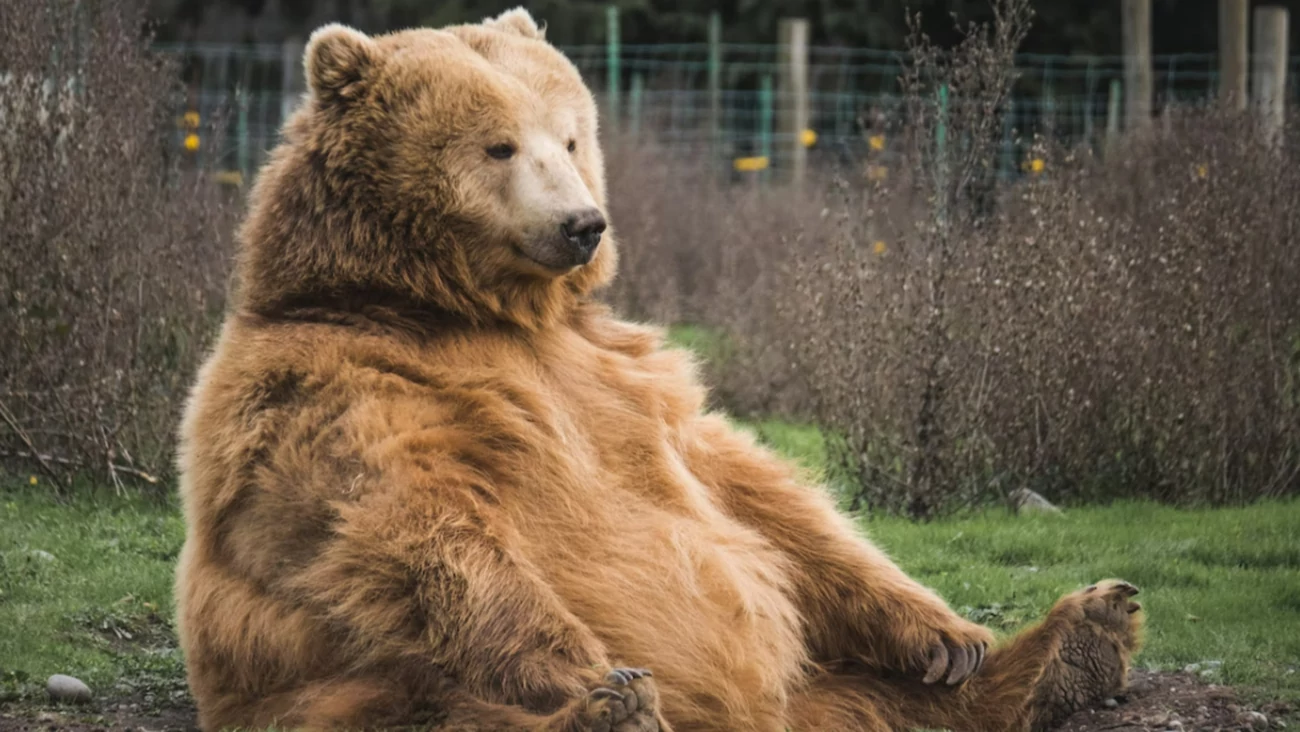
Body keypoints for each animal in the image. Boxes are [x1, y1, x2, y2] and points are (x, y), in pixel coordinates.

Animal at [170, 8, 1138, 728]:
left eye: (568, 136)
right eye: (497, 146)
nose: (583, 224)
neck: (466, 307)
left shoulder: (621, 372)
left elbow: (754, 491)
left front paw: (947, 633)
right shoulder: (336, 386)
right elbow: (412, 525)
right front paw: (593, 679)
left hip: (824, 687)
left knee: (884, 698)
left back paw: (1078, 637)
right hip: (334, 687)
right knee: (432, 703)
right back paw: (611, 712)